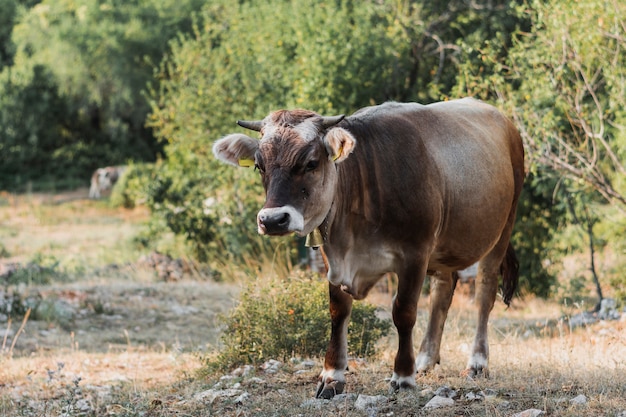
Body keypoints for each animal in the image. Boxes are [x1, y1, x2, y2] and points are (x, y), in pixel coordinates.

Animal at [212, 97, 524, 396]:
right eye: (259, 165)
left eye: (311, 162)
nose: (273, 220)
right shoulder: (333, 256)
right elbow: (338, 311)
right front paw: (332, 376)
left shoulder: (415, 253)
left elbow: (404, 312)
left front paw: (403, 376)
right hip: (446, 245)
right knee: (442, 293)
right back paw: (425, 359)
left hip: (502, 229)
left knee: (484, 292)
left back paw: (477, 362)